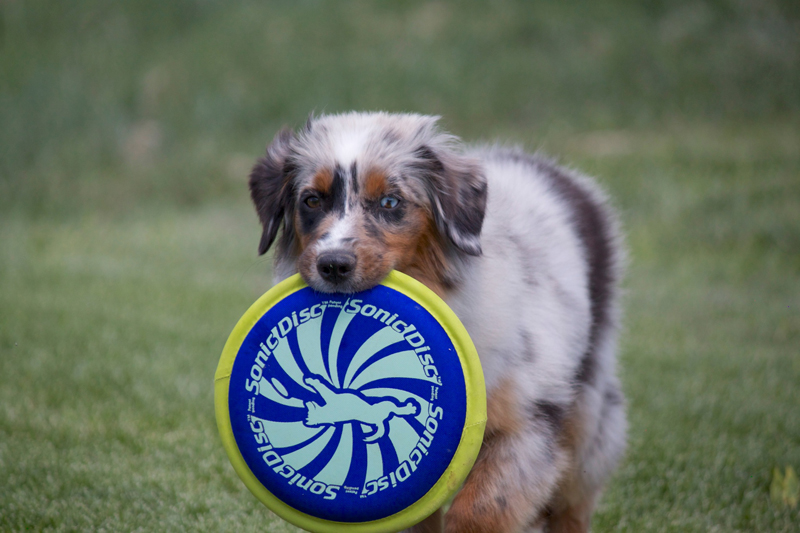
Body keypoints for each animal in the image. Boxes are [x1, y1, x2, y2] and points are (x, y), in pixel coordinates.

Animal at [248, 112, 626, 533]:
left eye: (390, 202)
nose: (333, 265)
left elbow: (481, 508)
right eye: (312, 200)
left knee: (573, 499)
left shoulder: (530, 420)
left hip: (590, 412)